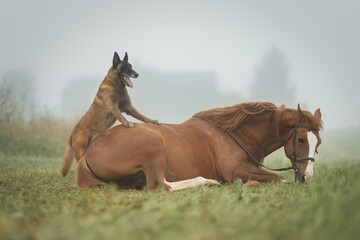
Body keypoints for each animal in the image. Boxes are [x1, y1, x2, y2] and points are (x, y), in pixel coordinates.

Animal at [76, 102, 324, 190]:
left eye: (318, 143)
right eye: (301, 139)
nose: (307, 176)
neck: (236, 133)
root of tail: (88, 154)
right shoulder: (237, 169)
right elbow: (279, 178)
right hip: (154, 146)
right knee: (160, 186)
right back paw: (205, 181)